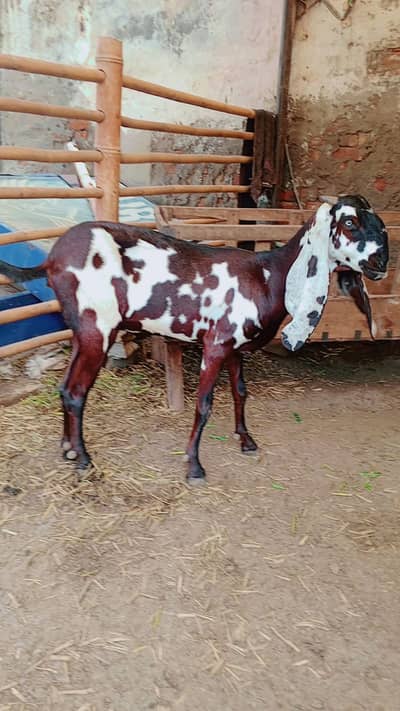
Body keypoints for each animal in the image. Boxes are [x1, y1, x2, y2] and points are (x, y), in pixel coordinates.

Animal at [0, 195, 388, 482]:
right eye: (349, 222)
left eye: (379, 223)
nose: (382, 261)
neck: (269, 274)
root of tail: (52, 259)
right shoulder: (215, 344)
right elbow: (203, 405)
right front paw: (194, 465)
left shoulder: (236, 348)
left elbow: (240, 392)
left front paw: (246, 440)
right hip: (99, 327)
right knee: (77, 391)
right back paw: (82, 459)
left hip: (83, 330)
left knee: (65, 386)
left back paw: (67, 449)